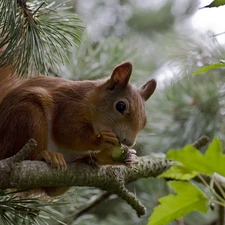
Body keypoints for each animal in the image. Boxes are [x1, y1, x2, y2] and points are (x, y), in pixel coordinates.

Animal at [0, 58, 156, 197]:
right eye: (121, 106)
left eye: (145, 121)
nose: (128, 142)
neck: (92, 99)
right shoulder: (70, 106)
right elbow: (65, 131)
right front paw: (102, 139)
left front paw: (123, 156)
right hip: (28, 115)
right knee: (30, 155)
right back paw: (46, 155)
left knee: (53, 191)